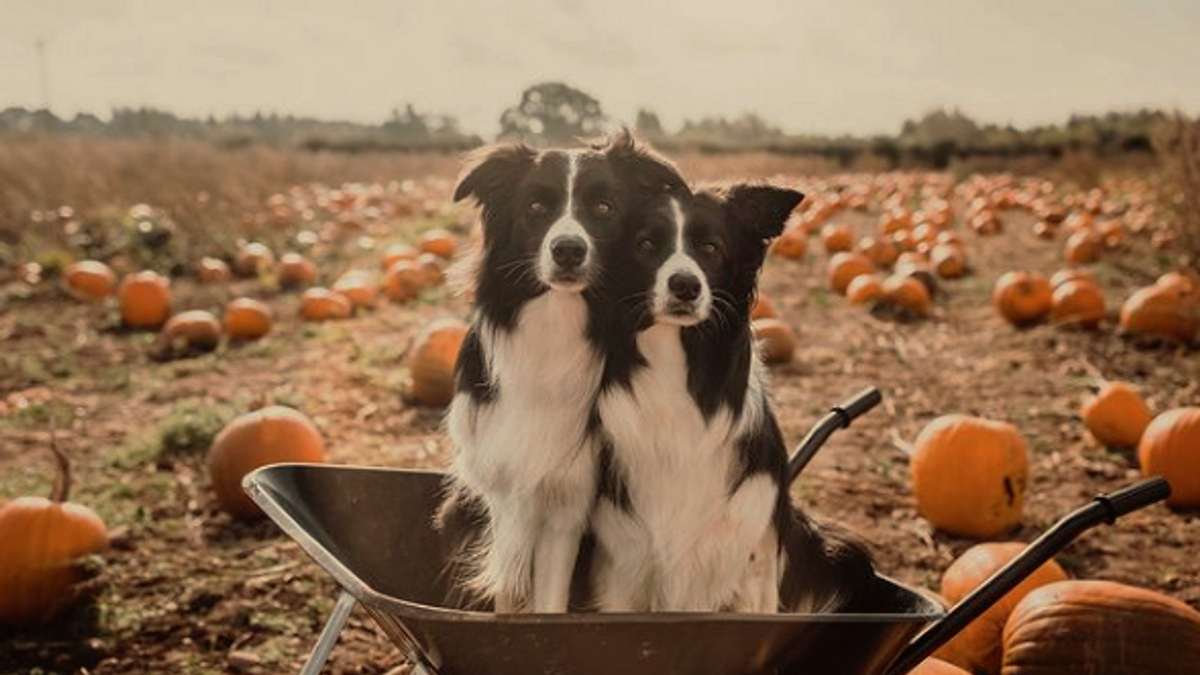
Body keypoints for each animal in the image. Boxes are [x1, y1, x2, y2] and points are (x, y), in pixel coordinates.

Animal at [444, 131, 691, 610]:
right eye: (536, 207)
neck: (554, 323)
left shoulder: (569, 502)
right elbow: (508, 596)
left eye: (604, 208)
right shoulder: (504, 496)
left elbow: (550, 603)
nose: (568, 250)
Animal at [588, 183, 873, 610]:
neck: (676, 365)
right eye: (645, 244)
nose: (686, 286)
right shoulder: (620, 558)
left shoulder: (750, 552)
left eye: (711, 248)